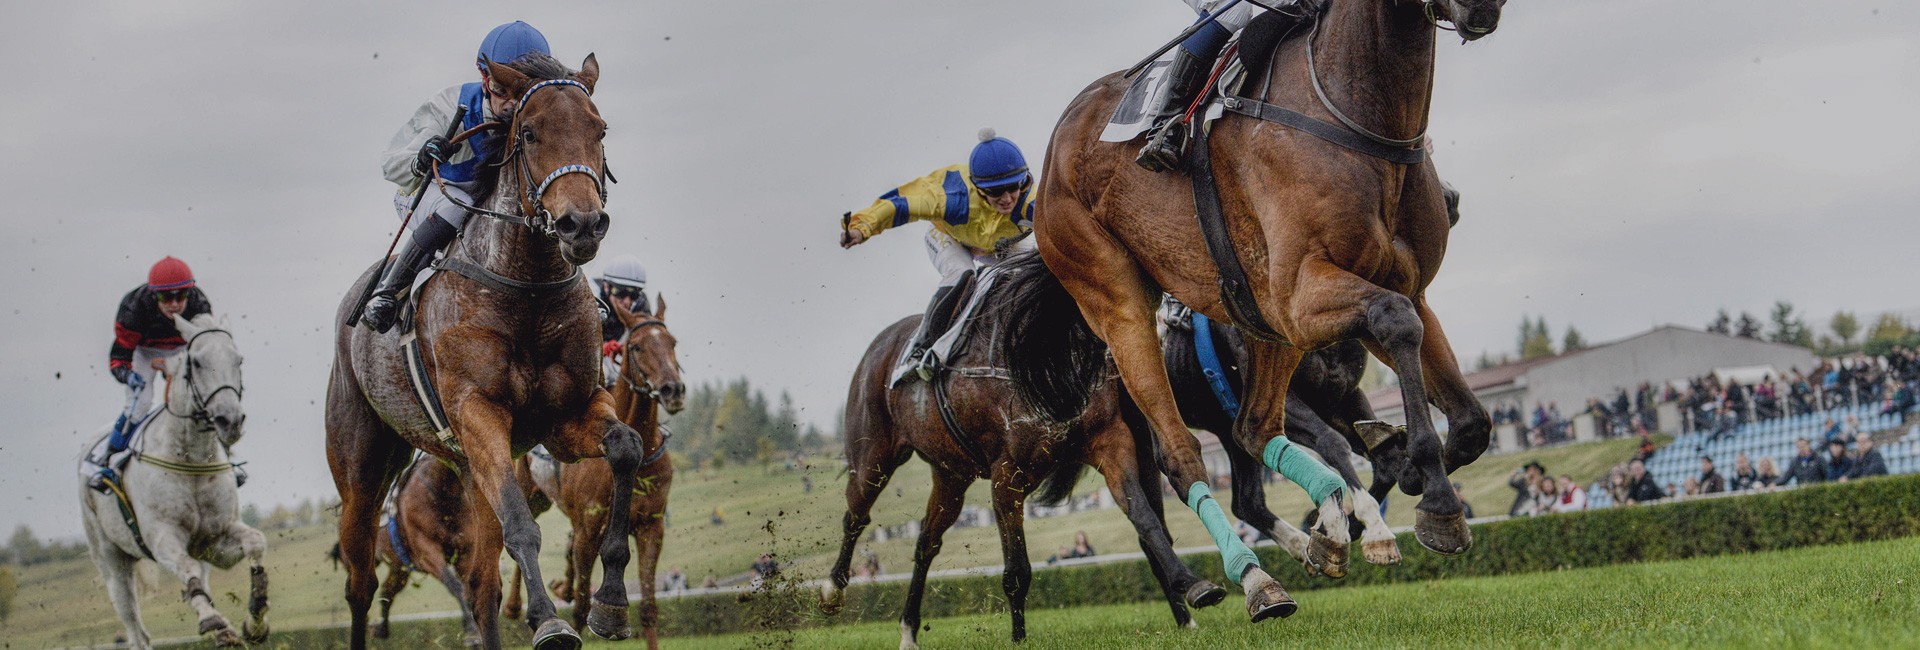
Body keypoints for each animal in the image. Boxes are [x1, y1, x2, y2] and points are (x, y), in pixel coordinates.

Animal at [77, 312, 270, 648]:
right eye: (197, 362)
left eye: (239, 359)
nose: (230, 420)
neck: (190, 459)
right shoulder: (161, 537)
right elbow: (186, 568)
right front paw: (210, 618)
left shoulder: (214, 542)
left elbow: (256, 543)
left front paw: (255, 621)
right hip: (111, 560)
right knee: (136, 629)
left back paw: (225, 632)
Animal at [322, 54, 637, 650]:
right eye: (530, 132)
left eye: (601, 130)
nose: (582, 224)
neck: (527, 286)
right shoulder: (478, 412)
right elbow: (519, 523)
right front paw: (551, 621)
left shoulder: (565, 417)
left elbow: (625, 447)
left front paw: (609, 603)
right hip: (361, 473)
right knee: (360, 583)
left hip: (472, 470)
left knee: (480, 583)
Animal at [506, 297, 687, 650]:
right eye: (637, 346)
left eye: (672, 342)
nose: (673, 390)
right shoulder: (589, 531)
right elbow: (581, 607)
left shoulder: (651, 528)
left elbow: (648, 608)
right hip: (532, 494)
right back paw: (512, 605)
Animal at [821, 255, 1213, 648]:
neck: (1043, 354)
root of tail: (880, 345)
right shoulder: (1007, 476)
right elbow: (1017, 571)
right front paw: (1019, 638)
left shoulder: (1109, 442)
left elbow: (1145, 519)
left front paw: (1193, 585)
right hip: (873, 457)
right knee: (855, 516)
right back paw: (831, 592)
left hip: (951, 476)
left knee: (926, 543)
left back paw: (908, 629)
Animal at [1036, 0, 1497, 617]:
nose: (1451, 199)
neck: (1355, 113)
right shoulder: (1301, 298)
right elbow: (1390, 332)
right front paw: (1418, 501)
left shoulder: (1392, 295)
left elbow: (1467, 419)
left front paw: (1400, 481)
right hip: (1117, 310)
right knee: (1176, 461)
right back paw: (1248, 579)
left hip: (1257, 324)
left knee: (1250, 438)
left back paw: (1313, 540)